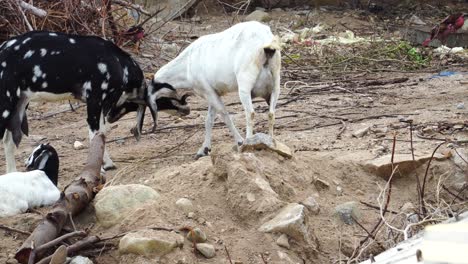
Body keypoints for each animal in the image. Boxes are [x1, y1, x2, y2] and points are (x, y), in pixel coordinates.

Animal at [0, 31, 190, 172]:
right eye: (165, 97)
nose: (186, 108)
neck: (118, 62)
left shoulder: (102, 105)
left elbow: (102, 133)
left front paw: (106, 163)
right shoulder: (95, 100)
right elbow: (95, 134)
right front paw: (100, 168)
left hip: (19, 104)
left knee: (8, 141)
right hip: (6, 104)